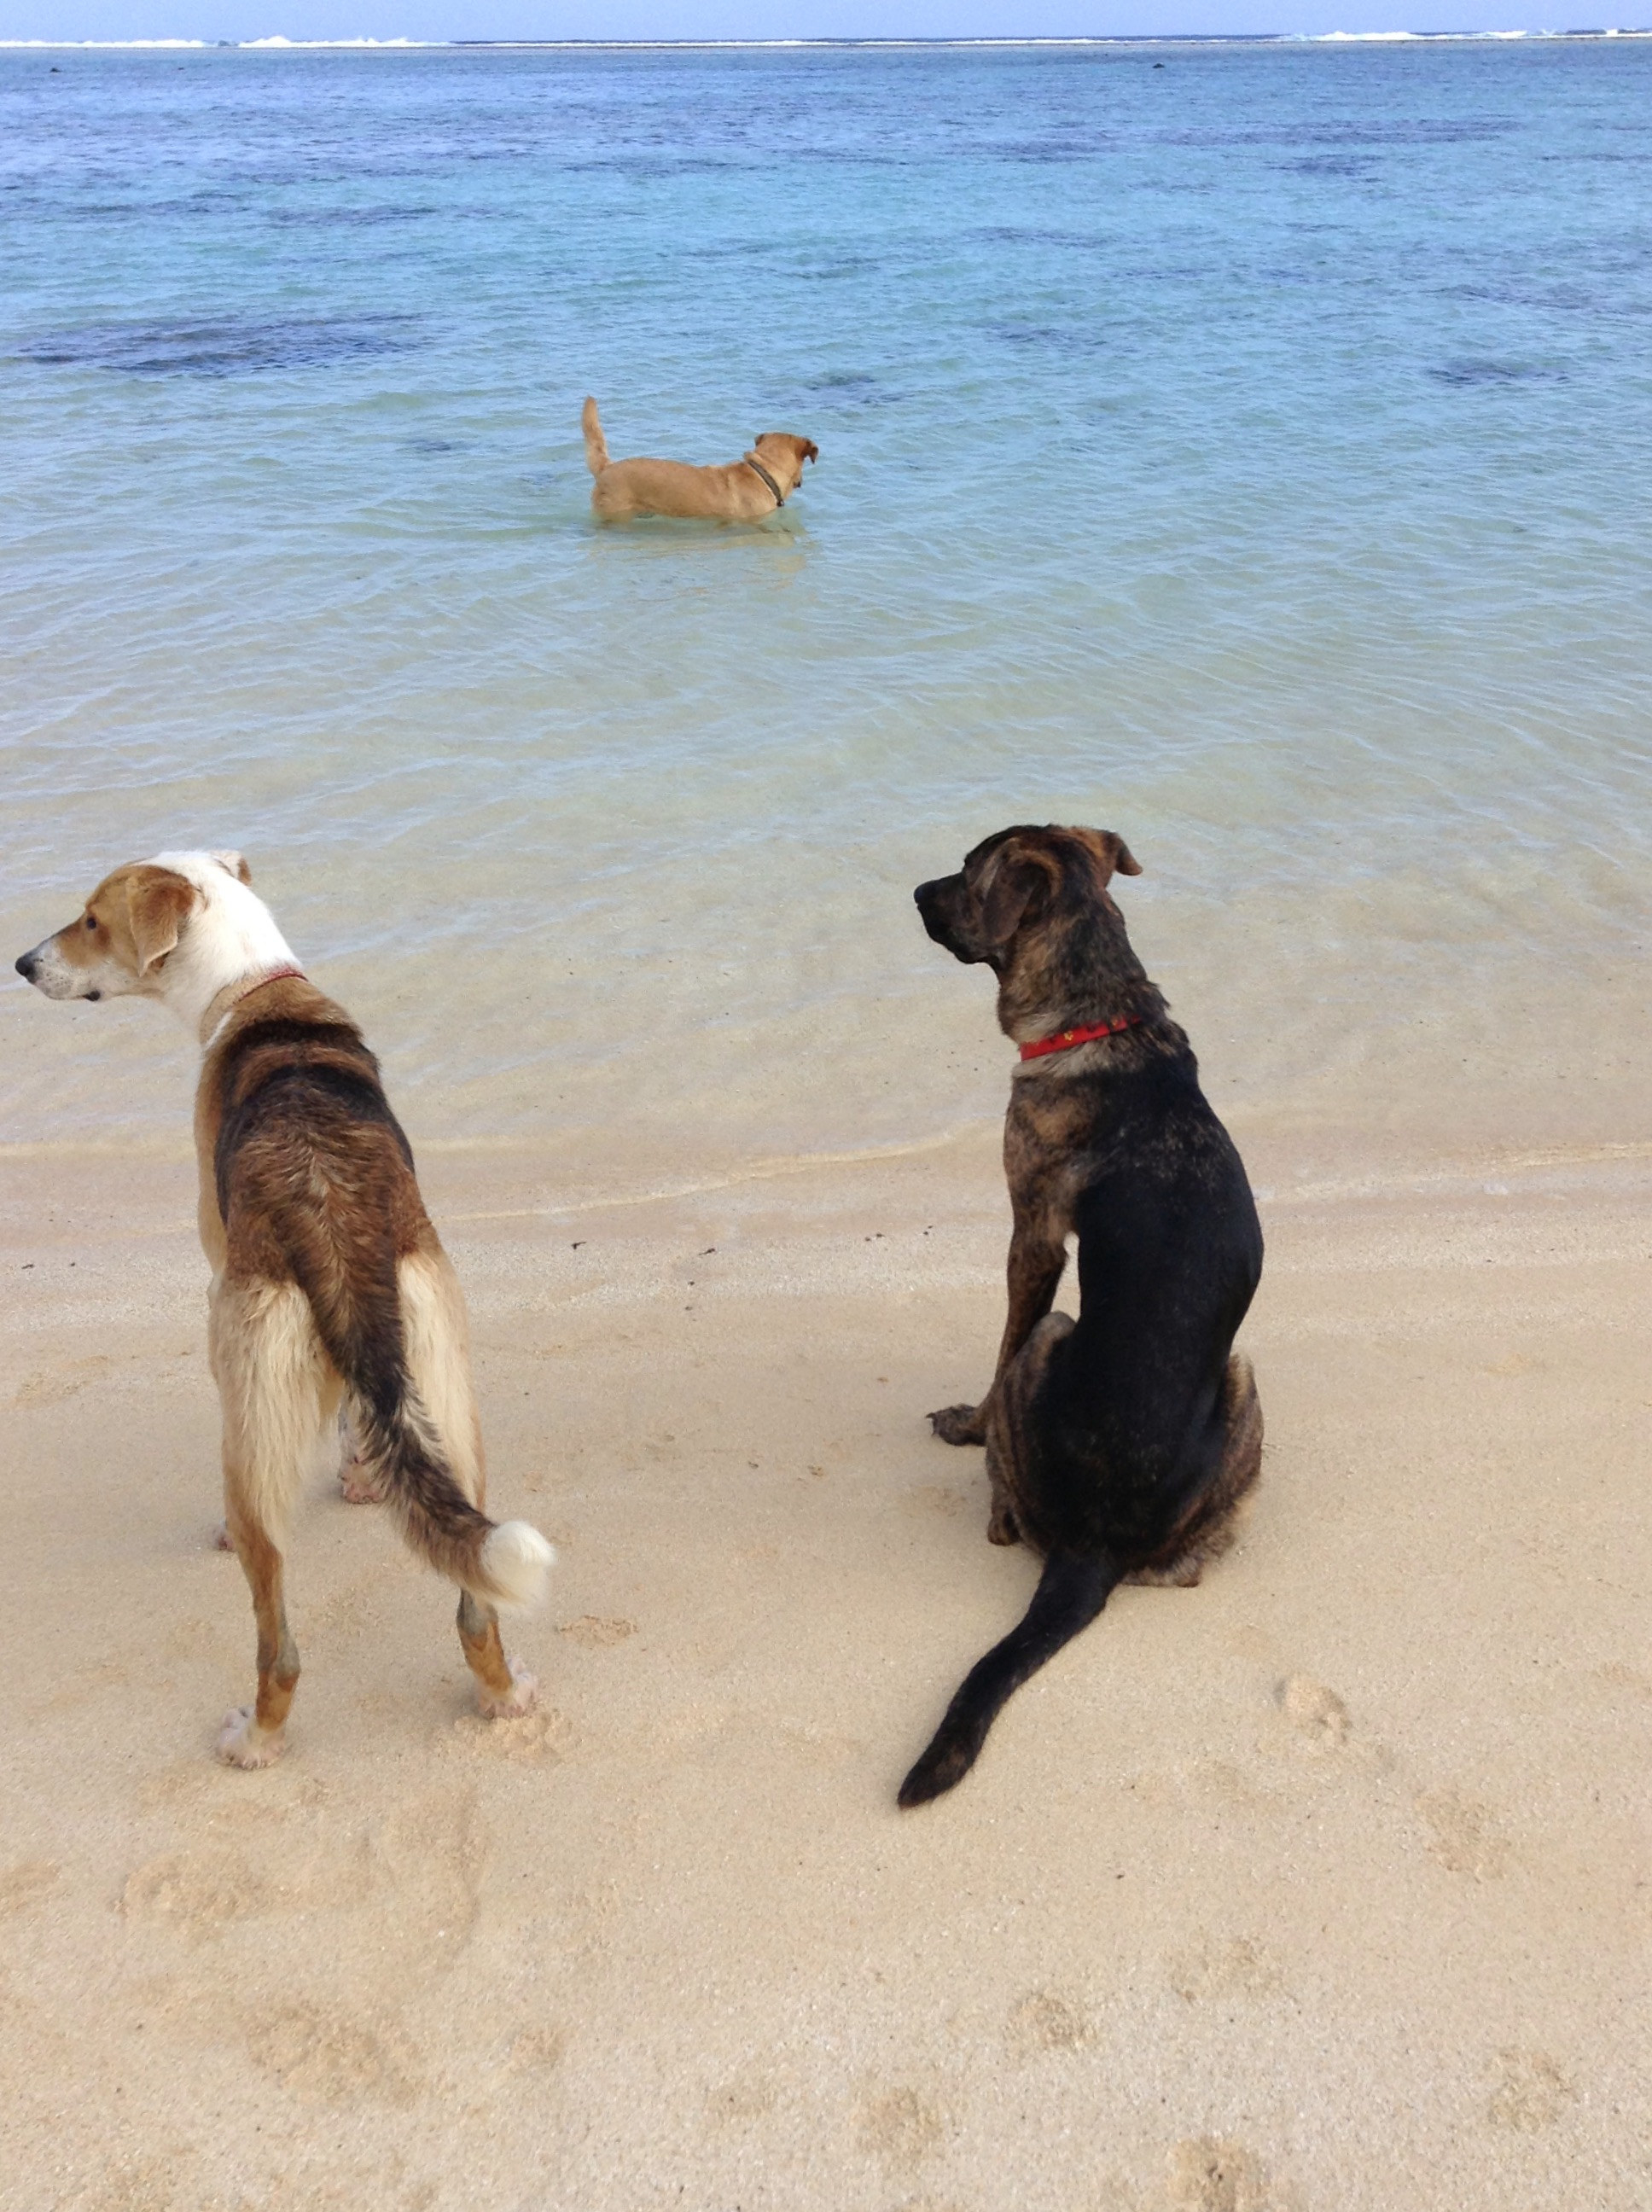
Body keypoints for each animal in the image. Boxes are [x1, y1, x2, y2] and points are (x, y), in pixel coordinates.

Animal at [15, 853, 555, 1769]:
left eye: (90, 920)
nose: (21, 965)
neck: (255, 986)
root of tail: (331, 1225)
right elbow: (354, 1419)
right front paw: (363, 1478)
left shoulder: (215, 1270)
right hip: (450, 1401)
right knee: (473, 1602)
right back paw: (501, 1693)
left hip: (253, 1430)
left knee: (281, 1645)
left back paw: (256, 1738)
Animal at [906, 823, 1265, 1805]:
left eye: (967, 875)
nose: (911, 892)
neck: (1103, 1014)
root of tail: (1094, 1551)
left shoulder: (1031, 1238)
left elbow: (996, 1352)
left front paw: (966, 1422)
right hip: (1243, 1376)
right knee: (1189, 1569)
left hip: (1059, 1338)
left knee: (1007, 1508)